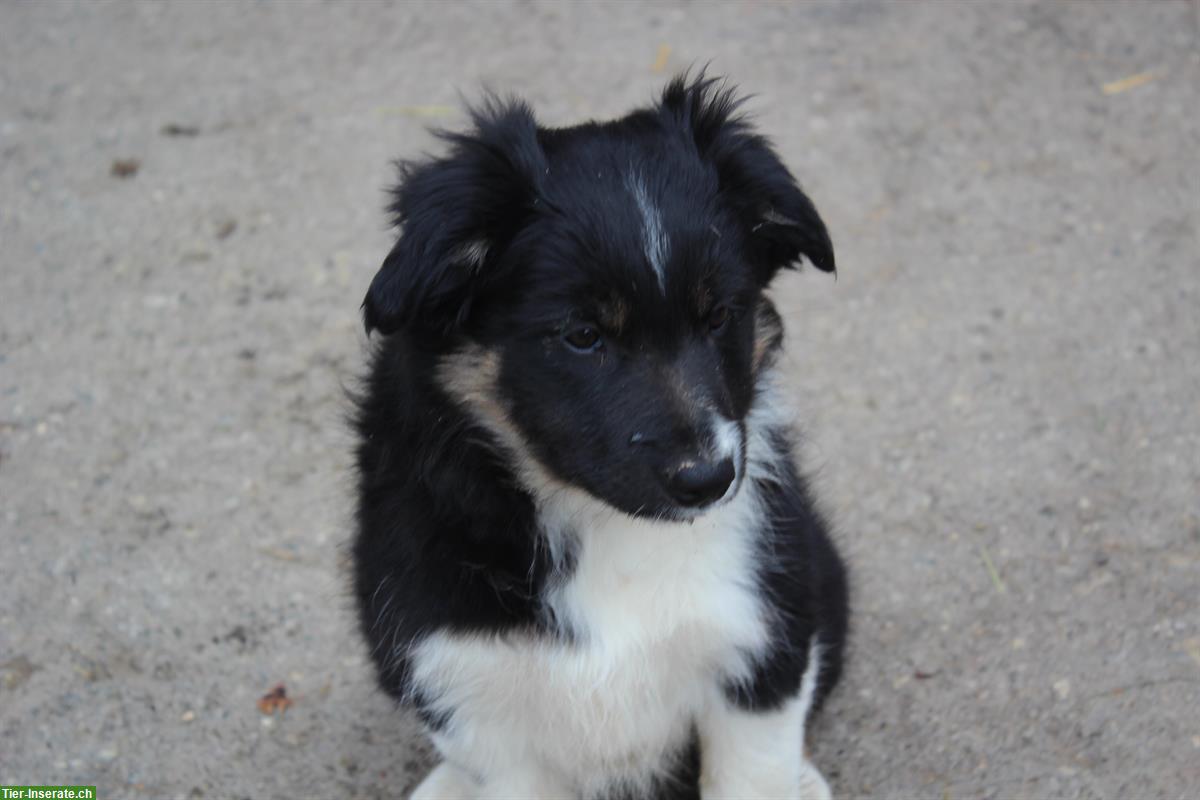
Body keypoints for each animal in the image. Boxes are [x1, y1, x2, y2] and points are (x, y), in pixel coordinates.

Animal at [350, 76, 849, 800]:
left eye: (720, 315)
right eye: (583, 335)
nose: (708, 480)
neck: (602, 526)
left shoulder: (760, 642)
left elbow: (752, 772)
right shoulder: (471, 693)